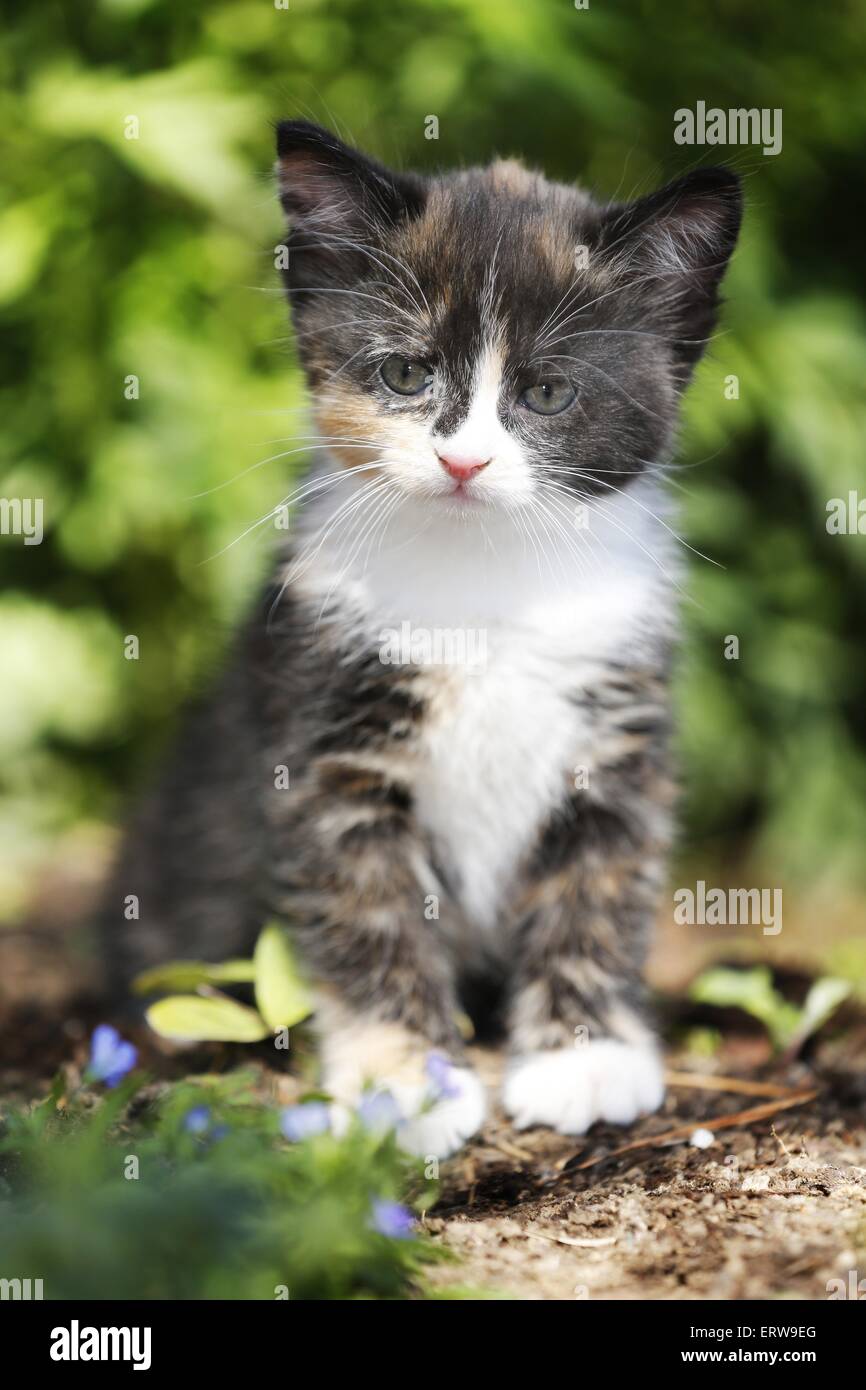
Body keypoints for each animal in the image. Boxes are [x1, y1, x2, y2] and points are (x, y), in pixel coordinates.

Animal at [100, 125, 739, 1156]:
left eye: (548, 392)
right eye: (405, 375)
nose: (464, 460)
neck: (483, 579)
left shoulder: (618, 727)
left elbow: (598, 887)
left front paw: (584, 1054)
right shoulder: (326, 744)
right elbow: (371, 916)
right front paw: (403, 1079)